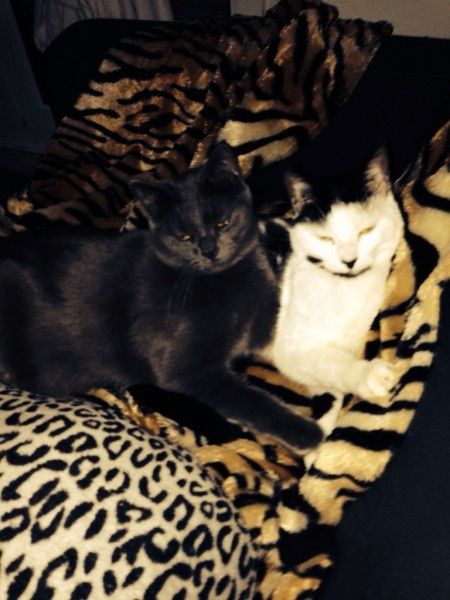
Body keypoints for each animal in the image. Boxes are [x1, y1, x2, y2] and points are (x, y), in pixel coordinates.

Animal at [0, 143, 322, 451]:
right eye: (184, 236)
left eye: (222, 223)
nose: (209, 250)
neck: (230, 281)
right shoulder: (188, 370)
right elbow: (251, 399)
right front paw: (306, 433)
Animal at [267, 148, 403, 400]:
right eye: (325, 238)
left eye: (366, 230)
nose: (349, 261)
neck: (349, 288)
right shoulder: (290, 352)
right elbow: (330, 362)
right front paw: (367, 375)